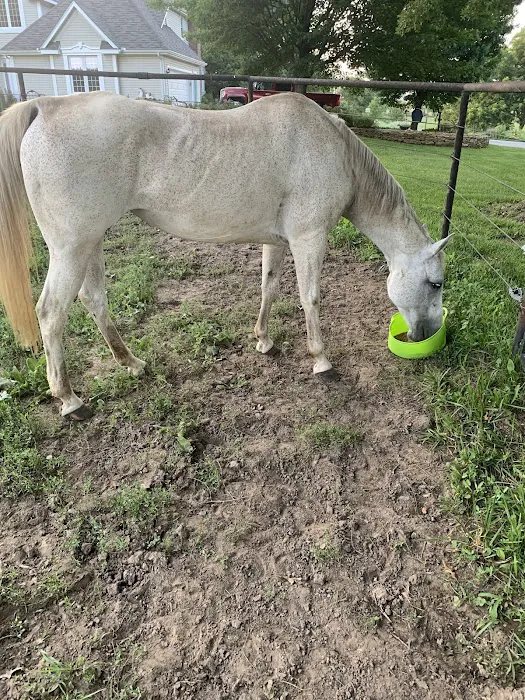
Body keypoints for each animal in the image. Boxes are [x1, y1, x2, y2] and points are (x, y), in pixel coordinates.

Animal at [0, 91, 450, 420]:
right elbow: (311, 298)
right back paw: (69, 400)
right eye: (435, 283)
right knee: (51, 313)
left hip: (91, 242)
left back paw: (131, 363)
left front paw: (264, 341)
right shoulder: (309, 239)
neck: (335, 151)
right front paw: (321, 360)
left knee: (94, 301)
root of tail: (45, 106)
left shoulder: (277, 240)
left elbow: (270, 288)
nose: (426, 334)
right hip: (72, 248)